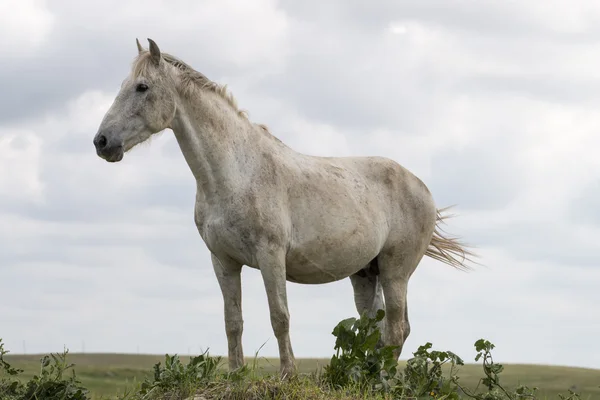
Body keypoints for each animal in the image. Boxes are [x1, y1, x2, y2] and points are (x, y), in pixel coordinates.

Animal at [92, 39, 474, 376]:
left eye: (142, 87)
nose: (102, 142)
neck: (236, 172)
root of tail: (421, 187)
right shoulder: (223, 262)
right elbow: (233, 321)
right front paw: (235, 374)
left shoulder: (271, 257)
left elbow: (280, 317)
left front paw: (287, 375)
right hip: (366, 273)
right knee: (375, 330)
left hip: (396, 272)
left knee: (396, 329)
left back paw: (384, 381)